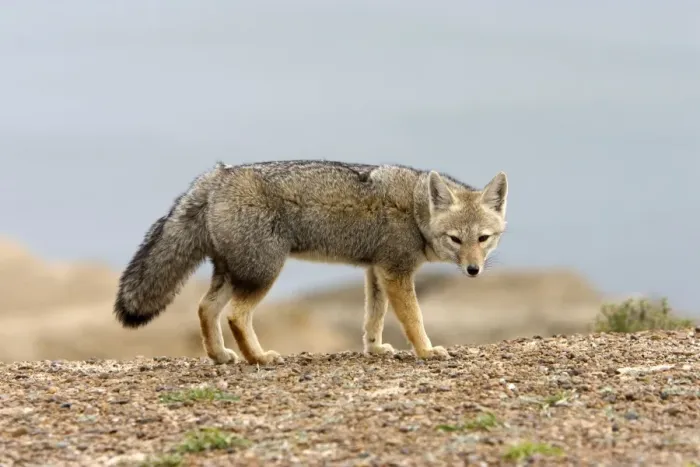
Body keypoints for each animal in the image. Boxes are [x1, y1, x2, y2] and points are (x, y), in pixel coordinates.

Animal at [114, 160, 508, 364]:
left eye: (483, 239)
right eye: (455, 239)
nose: (473, 270)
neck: (414, 209)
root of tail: (217, 175)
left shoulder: (377, 271)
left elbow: (373, 317)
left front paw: (375, 347)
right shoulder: (396, 272)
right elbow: (413, 318)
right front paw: (426, 350)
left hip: (235, 272)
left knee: (205, 308)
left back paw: (221, 355)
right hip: (264, 272)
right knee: (236, 315)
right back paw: (259, 358)